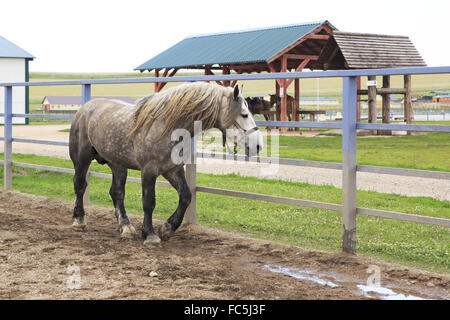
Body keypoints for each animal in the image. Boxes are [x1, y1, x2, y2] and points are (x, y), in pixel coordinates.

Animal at [68, 82, 262, 245]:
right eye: (244, 114)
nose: (258, 145)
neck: (166, 128)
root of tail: (84, 108)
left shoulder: (173, 170)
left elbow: (186, 197)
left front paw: (167, 228)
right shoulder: (149, 171)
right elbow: (149, 202)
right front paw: (150, 235)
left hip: (118, 165)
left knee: (117, 193)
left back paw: (125, 227)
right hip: (82, 160)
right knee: (80, 186)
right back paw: (79, 221)